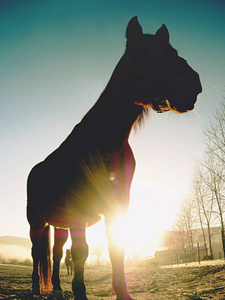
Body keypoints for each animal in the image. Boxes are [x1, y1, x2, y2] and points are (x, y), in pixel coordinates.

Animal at [26, 17, 202, 300]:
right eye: (143, 53)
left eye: (172, 51)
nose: (191, 84)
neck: (105, 142)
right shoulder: (79, 213)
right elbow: (81, 253)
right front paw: (80, 292)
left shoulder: (116, 207)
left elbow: (116, 249)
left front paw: (122, 292)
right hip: (37, 222)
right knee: (35, 254)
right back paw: (35, 288)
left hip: (60, 226)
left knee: (55, 254)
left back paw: (57, 288)